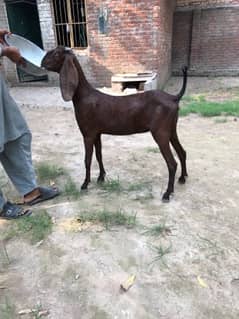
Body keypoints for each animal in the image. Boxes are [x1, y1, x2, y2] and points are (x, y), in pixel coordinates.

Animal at [42, 47, 189, 202]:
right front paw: (101, 177)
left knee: (172, 164)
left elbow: (87, 160)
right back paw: (182, 178)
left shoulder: (88, 134)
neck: (84, 96)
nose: (42, 61)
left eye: (56, 53)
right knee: (182, 152)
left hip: (160, 133)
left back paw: (167, 193)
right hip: (171, 130)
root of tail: (173, 97)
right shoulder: (97, 133)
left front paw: (85, 184)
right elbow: (99, 155)